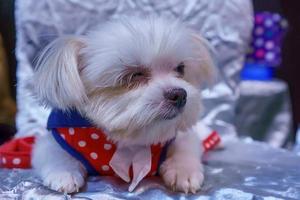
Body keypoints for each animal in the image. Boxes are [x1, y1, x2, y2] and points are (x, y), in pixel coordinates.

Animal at [31, 16, 216, 194]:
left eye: (180, 69)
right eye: (135, 75)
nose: (179, 95)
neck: (130, 141)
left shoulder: (180, 136)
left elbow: (185, 147)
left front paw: (184, 171)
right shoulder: (54, 139)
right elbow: (53, 153)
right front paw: (63, 173)